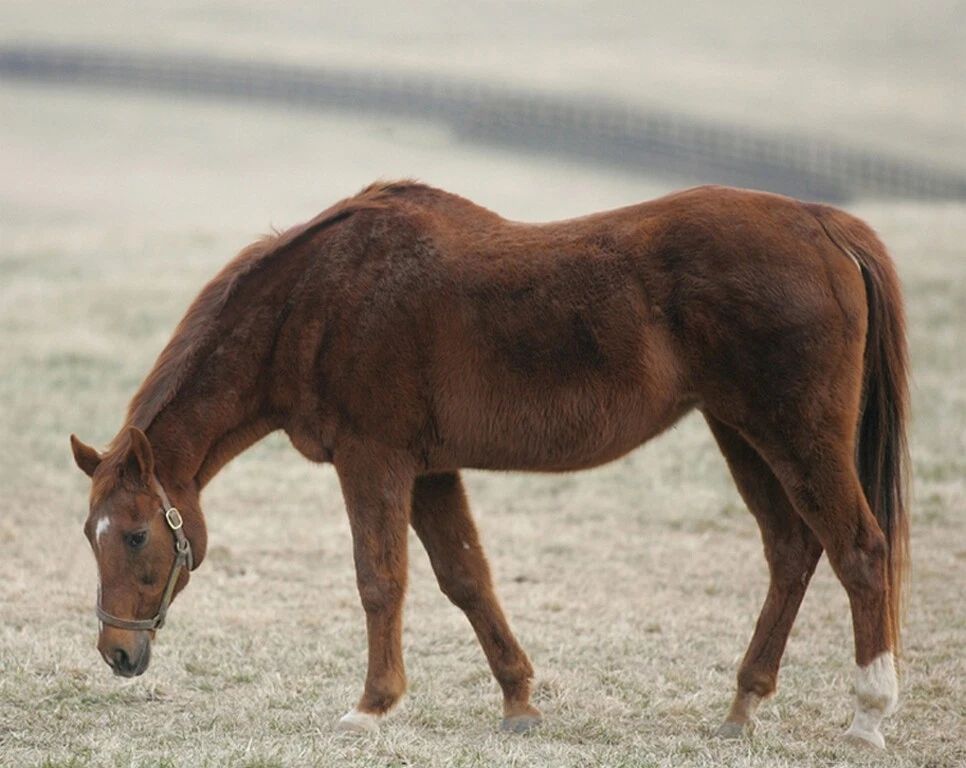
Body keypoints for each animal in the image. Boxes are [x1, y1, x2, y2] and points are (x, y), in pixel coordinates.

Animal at [70, 181, 909, 748]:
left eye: (137, 535)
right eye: (91, 534)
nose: (117, 652)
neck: (316, 301)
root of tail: (823, 224)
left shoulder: (374, 461)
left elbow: (381, 580)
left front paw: (372, 706)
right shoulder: (429, 472)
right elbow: (466, 577)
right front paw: (519, 701)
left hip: (797, 437)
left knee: (859, 551)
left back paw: (868, 716)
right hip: (743, 433)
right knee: (792, 551)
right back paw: (743, 704)